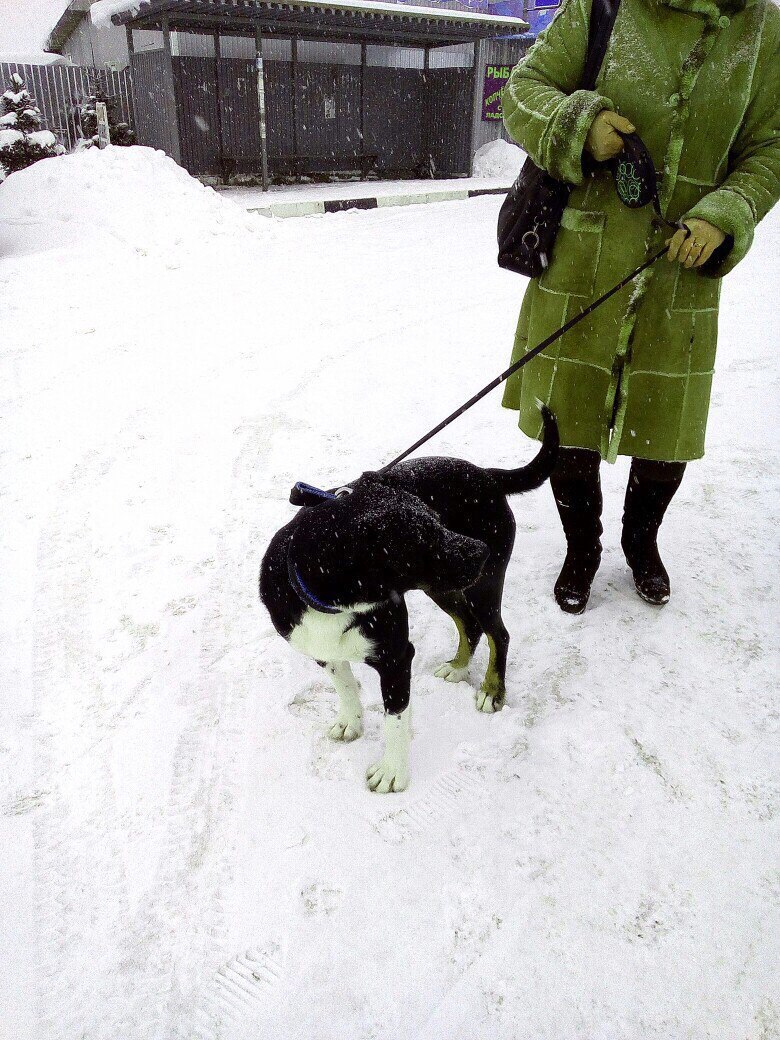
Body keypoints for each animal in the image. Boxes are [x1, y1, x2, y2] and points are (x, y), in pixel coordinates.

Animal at [260, 407, 557, 794]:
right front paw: (350, 721)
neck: (333, 605)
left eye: (436, 519)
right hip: (443, 586)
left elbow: (396, 718)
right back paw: (458, 667)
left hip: (483, 585)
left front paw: (392, 772)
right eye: (419, 539)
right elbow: (344, 684)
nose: (481, 551)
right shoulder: (321, 648)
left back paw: (492, 690)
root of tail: (487, 474)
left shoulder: (397, 657)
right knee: (470, 624)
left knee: (498, 634)